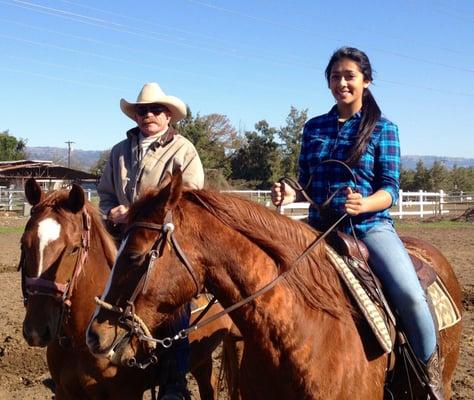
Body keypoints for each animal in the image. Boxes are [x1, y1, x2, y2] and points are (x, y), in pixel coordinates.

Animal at [20, 179, 239, 400]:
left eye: (73, 248)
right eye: (24, 245)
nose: (36, 330)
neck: (79, 341)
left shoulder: (127, 393)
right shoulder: (64, 391)